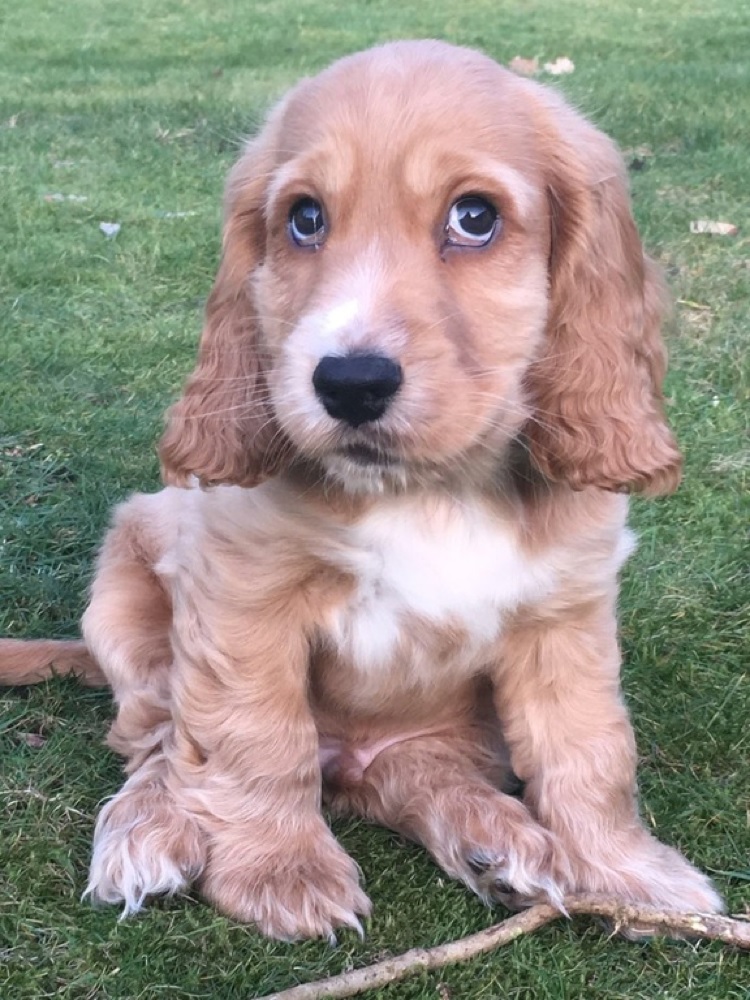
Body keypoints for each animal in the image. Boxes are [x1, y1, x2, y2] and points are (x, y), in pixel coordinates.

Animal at [0, 41, 728, 944]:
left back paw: (494, 838)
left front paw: (629, 873)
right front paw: (279, 871)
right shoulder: (243, 595)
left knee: (401, 774)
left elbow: (590, 750)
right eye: (305, 219)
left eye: (475, 217)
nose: (349, 383)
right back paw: (149, 830)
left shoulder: (567, 614)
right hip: (130, 601)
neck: (431, 488)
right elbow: (255, 739)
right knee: (161, 743)